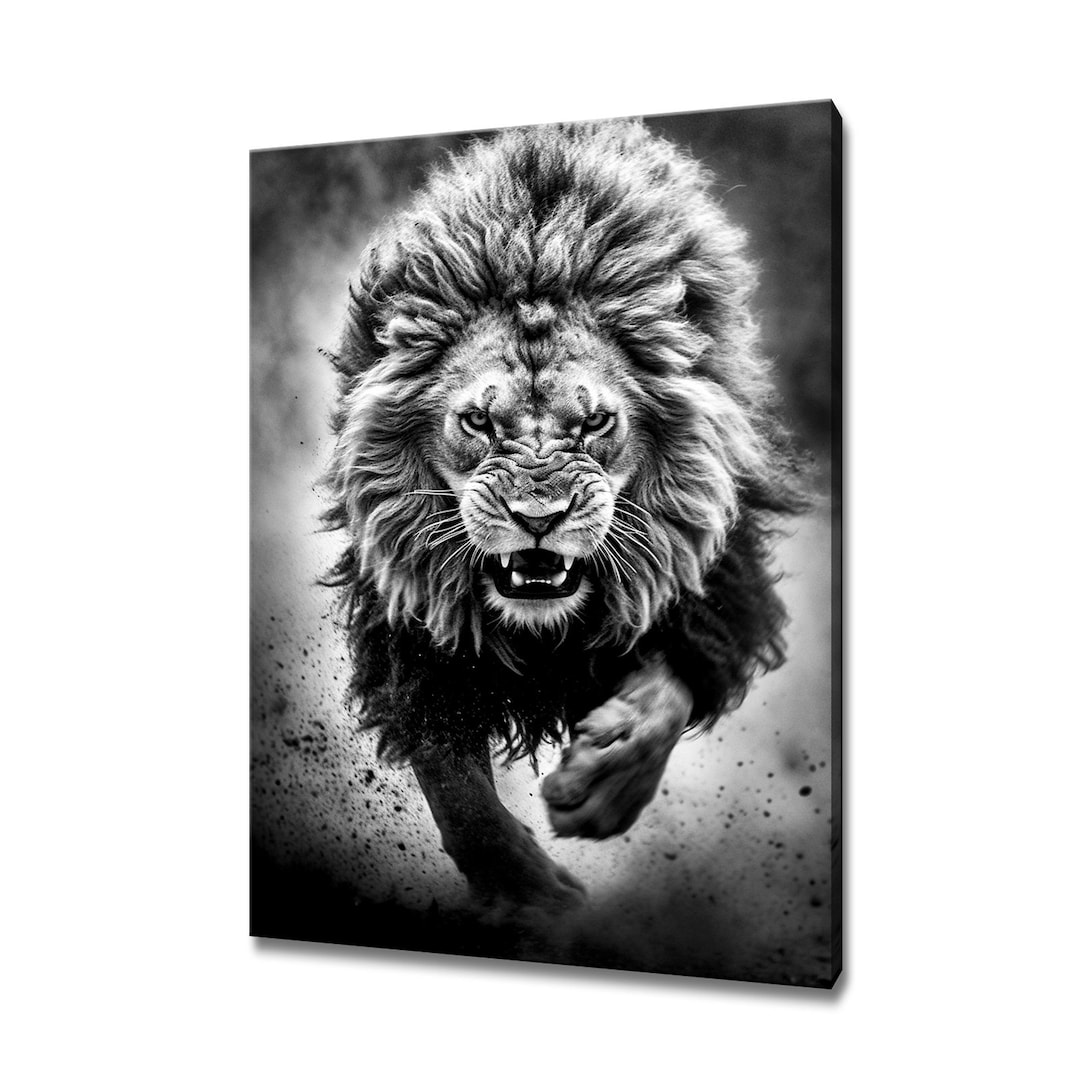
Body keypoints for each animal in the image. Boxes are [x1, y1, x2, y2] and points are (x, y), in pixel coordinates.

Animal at [320, 120, 804, 914]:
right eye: (479, 422)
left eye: (594, 422)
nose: (538, 515)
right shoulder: (412, 617)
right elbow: (453, 777)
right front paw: (525, 888)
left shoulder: (710, 588)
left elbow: (666, 694)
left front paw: (602, 784)